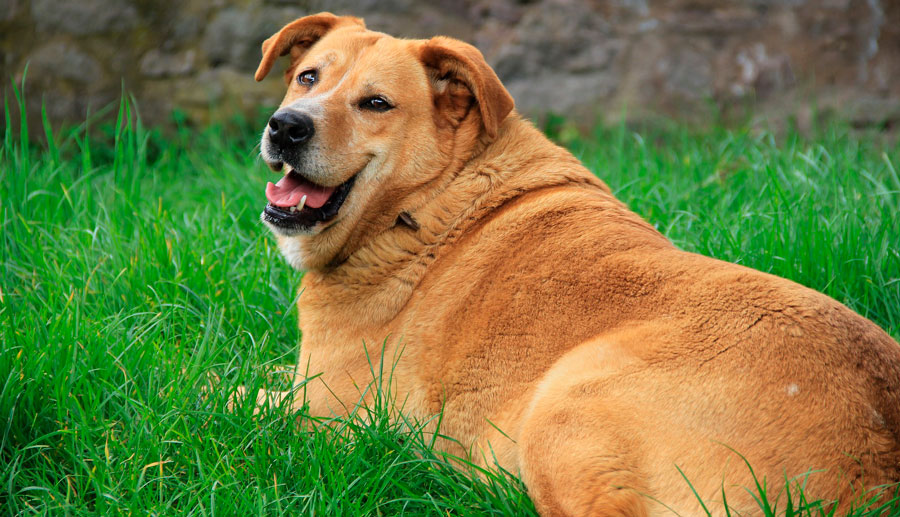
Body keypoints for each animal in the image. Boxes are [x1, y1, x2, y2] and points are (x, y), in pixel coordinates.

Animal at [250, 13, 900, 516]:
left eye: (376, 103)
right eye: (308, 77)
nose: (286, 126)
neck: (426, 203)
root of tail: (875, 467)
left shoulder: (323, 411)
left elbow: (236, 397)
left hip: (564, 404)